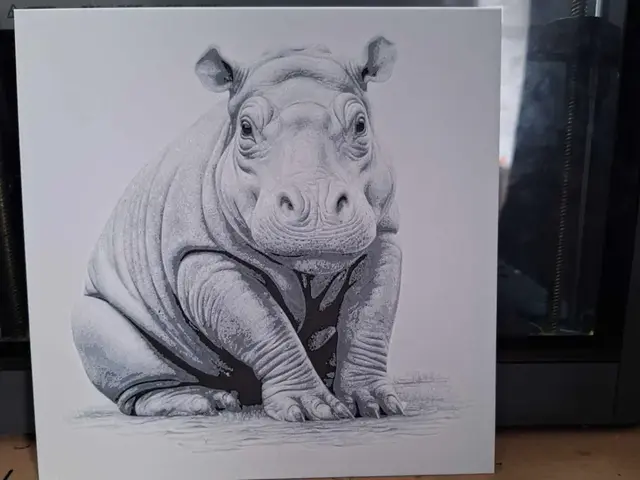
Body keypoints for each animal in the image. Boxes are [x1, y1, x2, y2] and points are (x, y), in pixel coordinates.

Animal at [71, 35, 403, 422]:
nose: (316, 213)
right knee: (104, 332)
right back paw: (203, 401)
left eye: (361, 125)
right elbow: (265, 324)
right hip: (101, 299)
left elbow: (370, 317)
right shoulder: (201, 253)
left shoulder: (383, 235)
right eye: (245, 129)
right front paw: (312, 410)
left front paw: (379, 404)